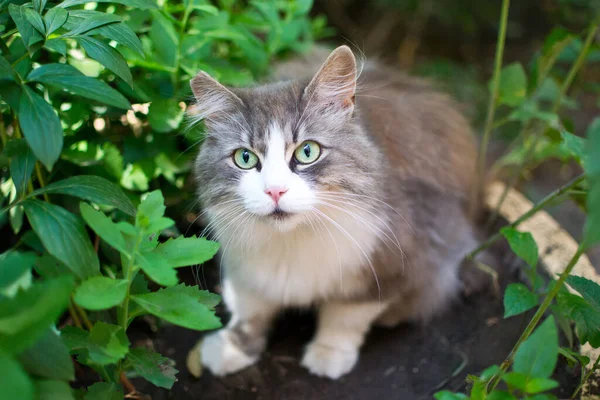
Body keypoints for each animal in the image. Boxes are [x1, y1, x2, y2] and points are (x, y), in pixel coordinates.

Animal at [188, 45, 488, 380]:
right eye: (245, 158)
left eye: (307, 152)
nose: (275, 191)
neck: (291, 244)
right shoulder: (245, 269)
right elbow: (249, 312)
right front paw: (232, 348)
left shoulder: (387, 265)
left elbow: (344, 317)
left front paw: (328, 354)